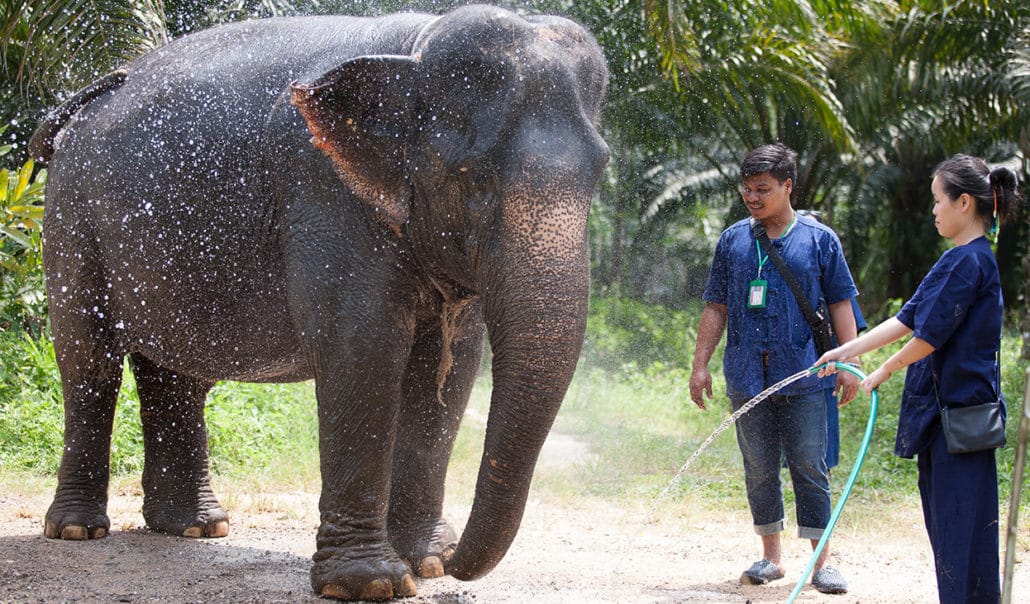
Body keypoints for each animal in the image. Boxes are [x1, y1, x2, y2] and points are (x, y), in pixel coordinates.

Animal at [30, 3, 609, 597]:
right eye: (473, 182)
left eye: (601, 172)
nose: (457, 562)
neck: (416, 48)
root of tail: (83, 104)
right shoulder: (322, 187)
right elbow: (360, 347)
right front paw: (373, 584)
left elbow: (449, 368)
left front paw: (424, 563)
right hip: (70, 219)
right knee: (89, 363)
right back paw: (79, 531)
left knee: (175, 371)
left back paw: (196, 528)